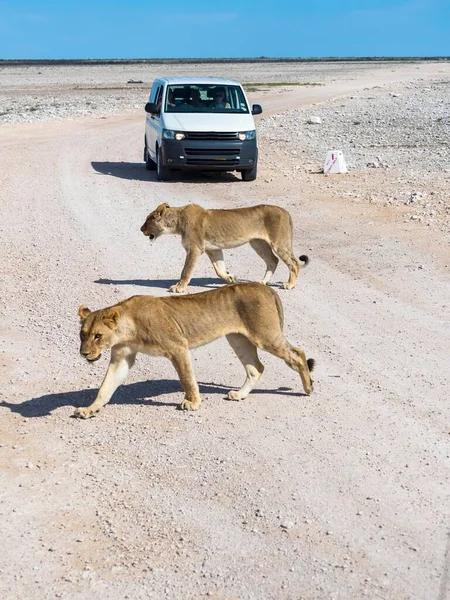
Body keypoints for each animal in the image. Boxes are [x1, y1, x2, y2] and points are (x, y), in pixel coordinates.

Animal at [74, 284, 314, 420]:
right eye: (83, 334)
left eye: (98, 336)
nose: (84, 354)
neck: (127, 328)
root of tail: (266, 288)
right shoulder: (121, 357)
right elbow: (106, 387)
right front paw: (89, 409)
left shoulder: (178, 346)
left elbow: (186, 378)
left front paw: (192, 403)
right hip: (238, 339)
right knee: (256, 368)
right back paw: (239, 395)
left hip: (265, 335)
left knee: (298, 353)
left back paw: (308, 388)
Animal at [141, 203, 310, 294]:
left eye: (147, 220)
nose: (140, 229)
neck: (177, 221)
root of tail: (285, 212)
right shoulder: (213, 249)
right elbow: (219, 269)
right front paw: (231, 278)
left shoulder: (194, 249)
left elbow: (186, 271)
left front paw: (179, 287)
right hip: (258, 243)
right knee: (273, 260)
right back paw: (262, 282)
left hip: (279, 243)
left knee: (293, 263)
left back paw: (289, 285)